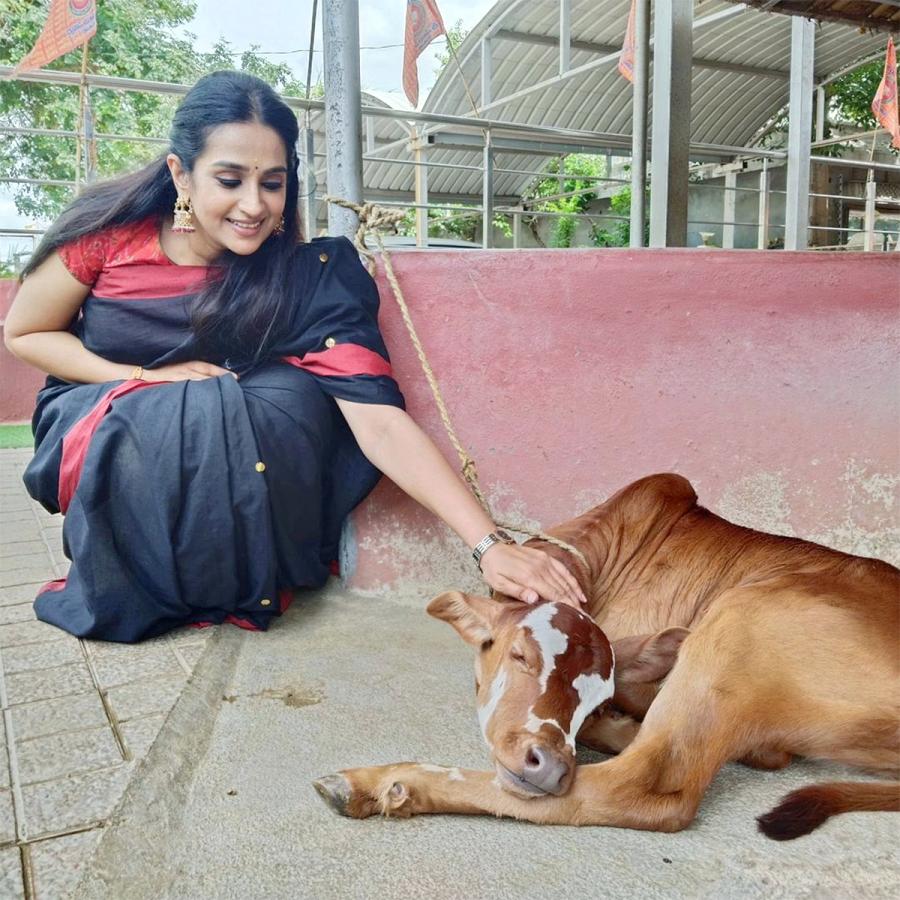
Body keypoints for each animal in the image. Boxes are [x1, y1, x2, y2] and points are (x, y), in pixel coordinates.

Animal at [312, 474, 896, 840]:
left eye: (598, 686)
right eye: (519, 655)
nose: (550, 764)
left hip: (742, 615)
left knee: (635, 787)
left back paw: (379, 783)